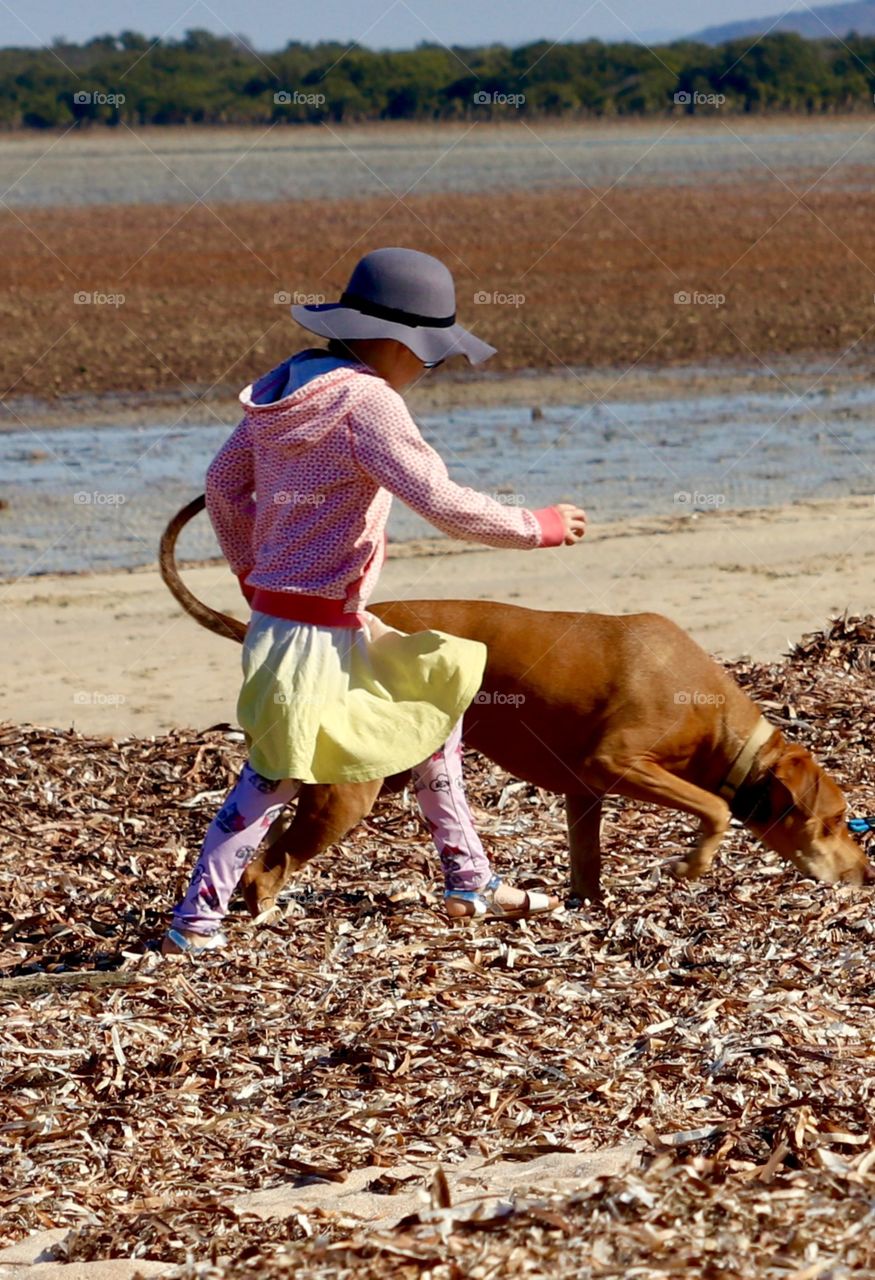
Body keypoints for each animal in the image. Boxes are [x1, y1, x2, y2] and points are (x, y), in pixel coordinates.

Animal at [160, 496, 869, 911]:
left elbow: (588, 861)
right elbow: (716, 808)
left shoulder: (585, 791)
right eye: (835, 822)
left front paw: (590, 908)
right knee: (274, 856)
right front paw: (690, 864)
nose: (865, 876)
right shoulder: (616, 762)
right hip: (356, 791)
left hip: (382, 774)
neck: (718, 723)